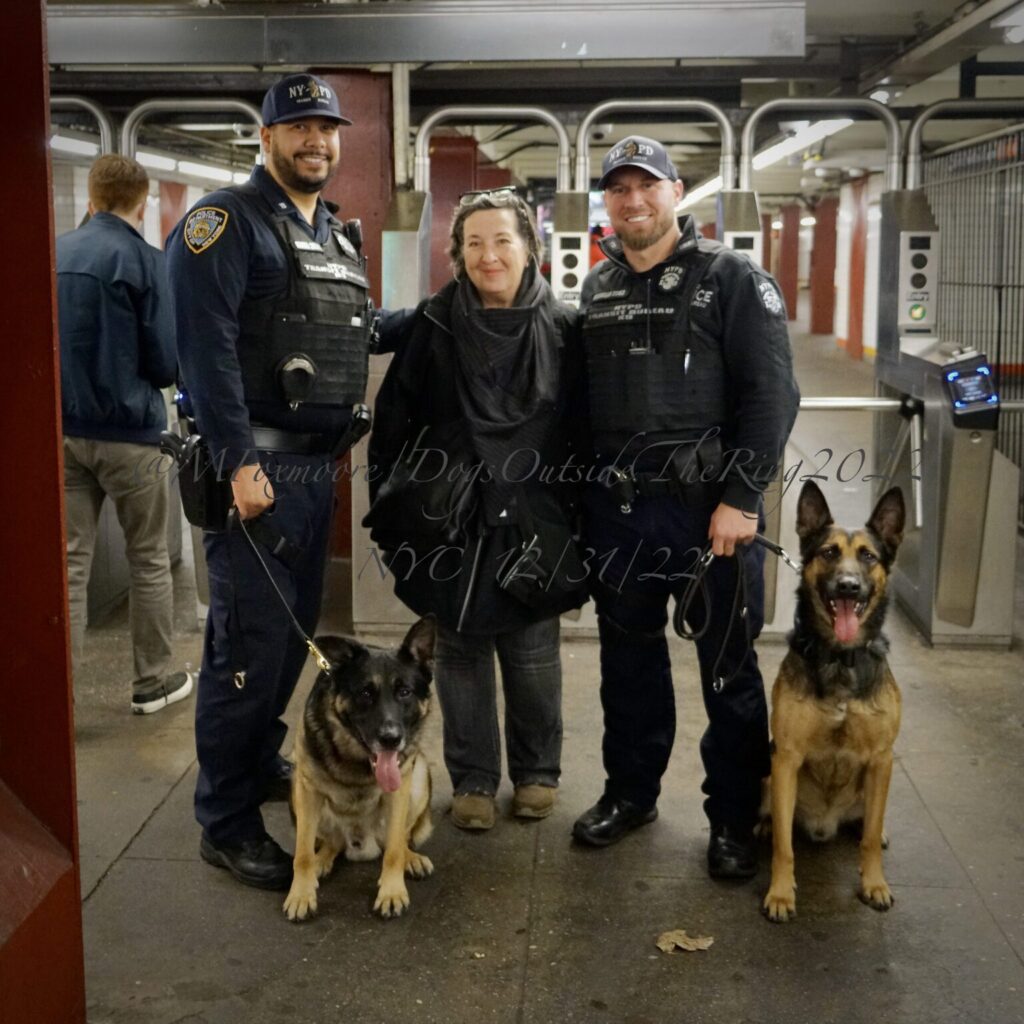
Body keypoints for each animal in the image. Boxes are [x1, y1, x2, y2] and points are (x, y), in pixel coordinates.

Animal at [284, 614, 436, 921]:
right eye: (365, 693)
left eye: (405, 692)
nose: (390, 739)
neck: (356, 759)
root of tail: (362, 844)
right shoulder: (307, 790)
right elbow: (302, 854)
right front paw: (301, 894)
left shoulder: (399, 790)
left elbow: (394, 851)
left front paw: (391, 892)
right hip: (296, 785)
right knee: (331, 842)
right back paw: (322, 859)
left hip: (419, 776)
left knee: (399, 839)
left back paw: (410, 858)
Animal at [761, 479, 905, 921]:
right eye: (828, 553)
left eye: (868, 556)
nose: (847, 586)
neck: (841, 659)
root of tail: (826, 824)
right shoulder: (786, 758)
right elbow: (783, 846)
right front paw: (780, 893)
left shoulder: (881, 759)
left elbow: (870, 839)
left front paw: (874, 885)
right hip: (769, 772)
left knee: (871, 822)